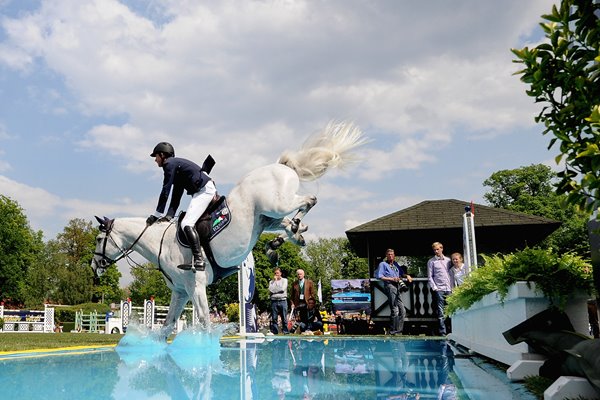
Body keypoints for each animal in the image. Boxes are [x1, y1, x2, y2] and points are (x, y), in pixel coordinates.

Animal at [92, 120, 366, 340]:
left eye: (98, 239)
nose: (95, 267)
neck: (161, 242)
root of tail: (281, 165)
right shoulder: (180, 292)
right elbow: (167, 326)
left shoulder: (195, 287)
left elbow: (204, 323)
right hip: (265, 218)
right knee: (285, 223)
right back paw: (283, 240)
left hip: (277, 204)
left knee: (309, 200)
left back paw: (294, 231)